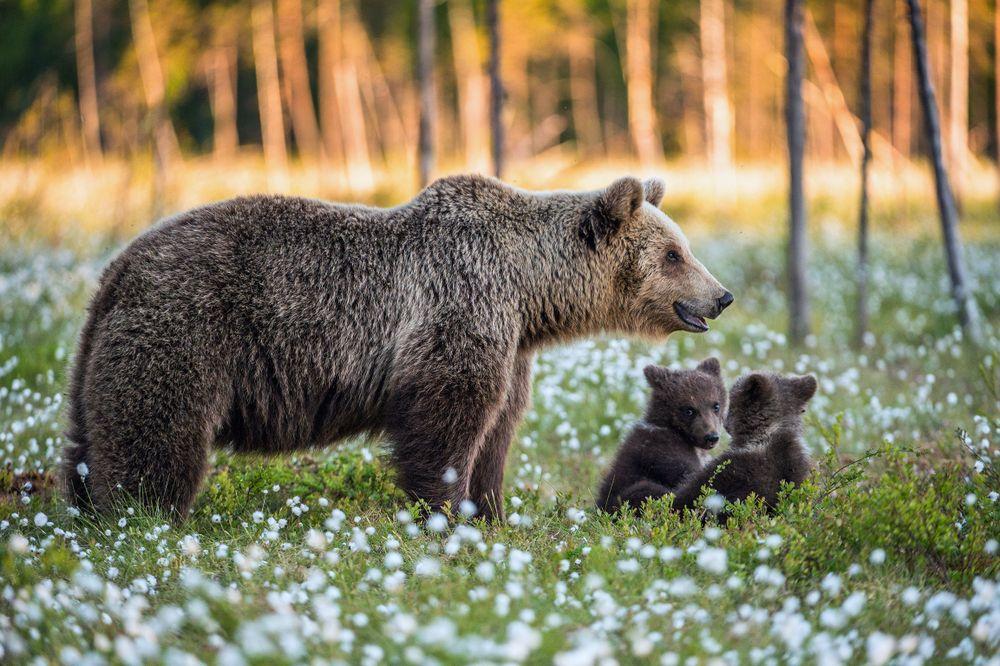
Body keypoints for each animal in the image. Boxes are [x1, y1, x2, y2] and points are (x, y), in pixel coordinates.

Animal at [64, 172, 736, 520]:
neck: (530, 291)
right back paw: (145, 515)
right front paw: (448, 512)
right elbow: (445, 420)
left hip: (102, 351)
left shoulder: (512, 343)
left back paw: (85, 507)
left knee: (89, 433)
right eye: (673, 254)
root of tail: (119, 265)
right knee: (157, 430)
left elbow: (496, 428)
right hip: (189, 329)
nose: (721, 295)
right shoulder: (459, 308)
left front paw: (492, 510)